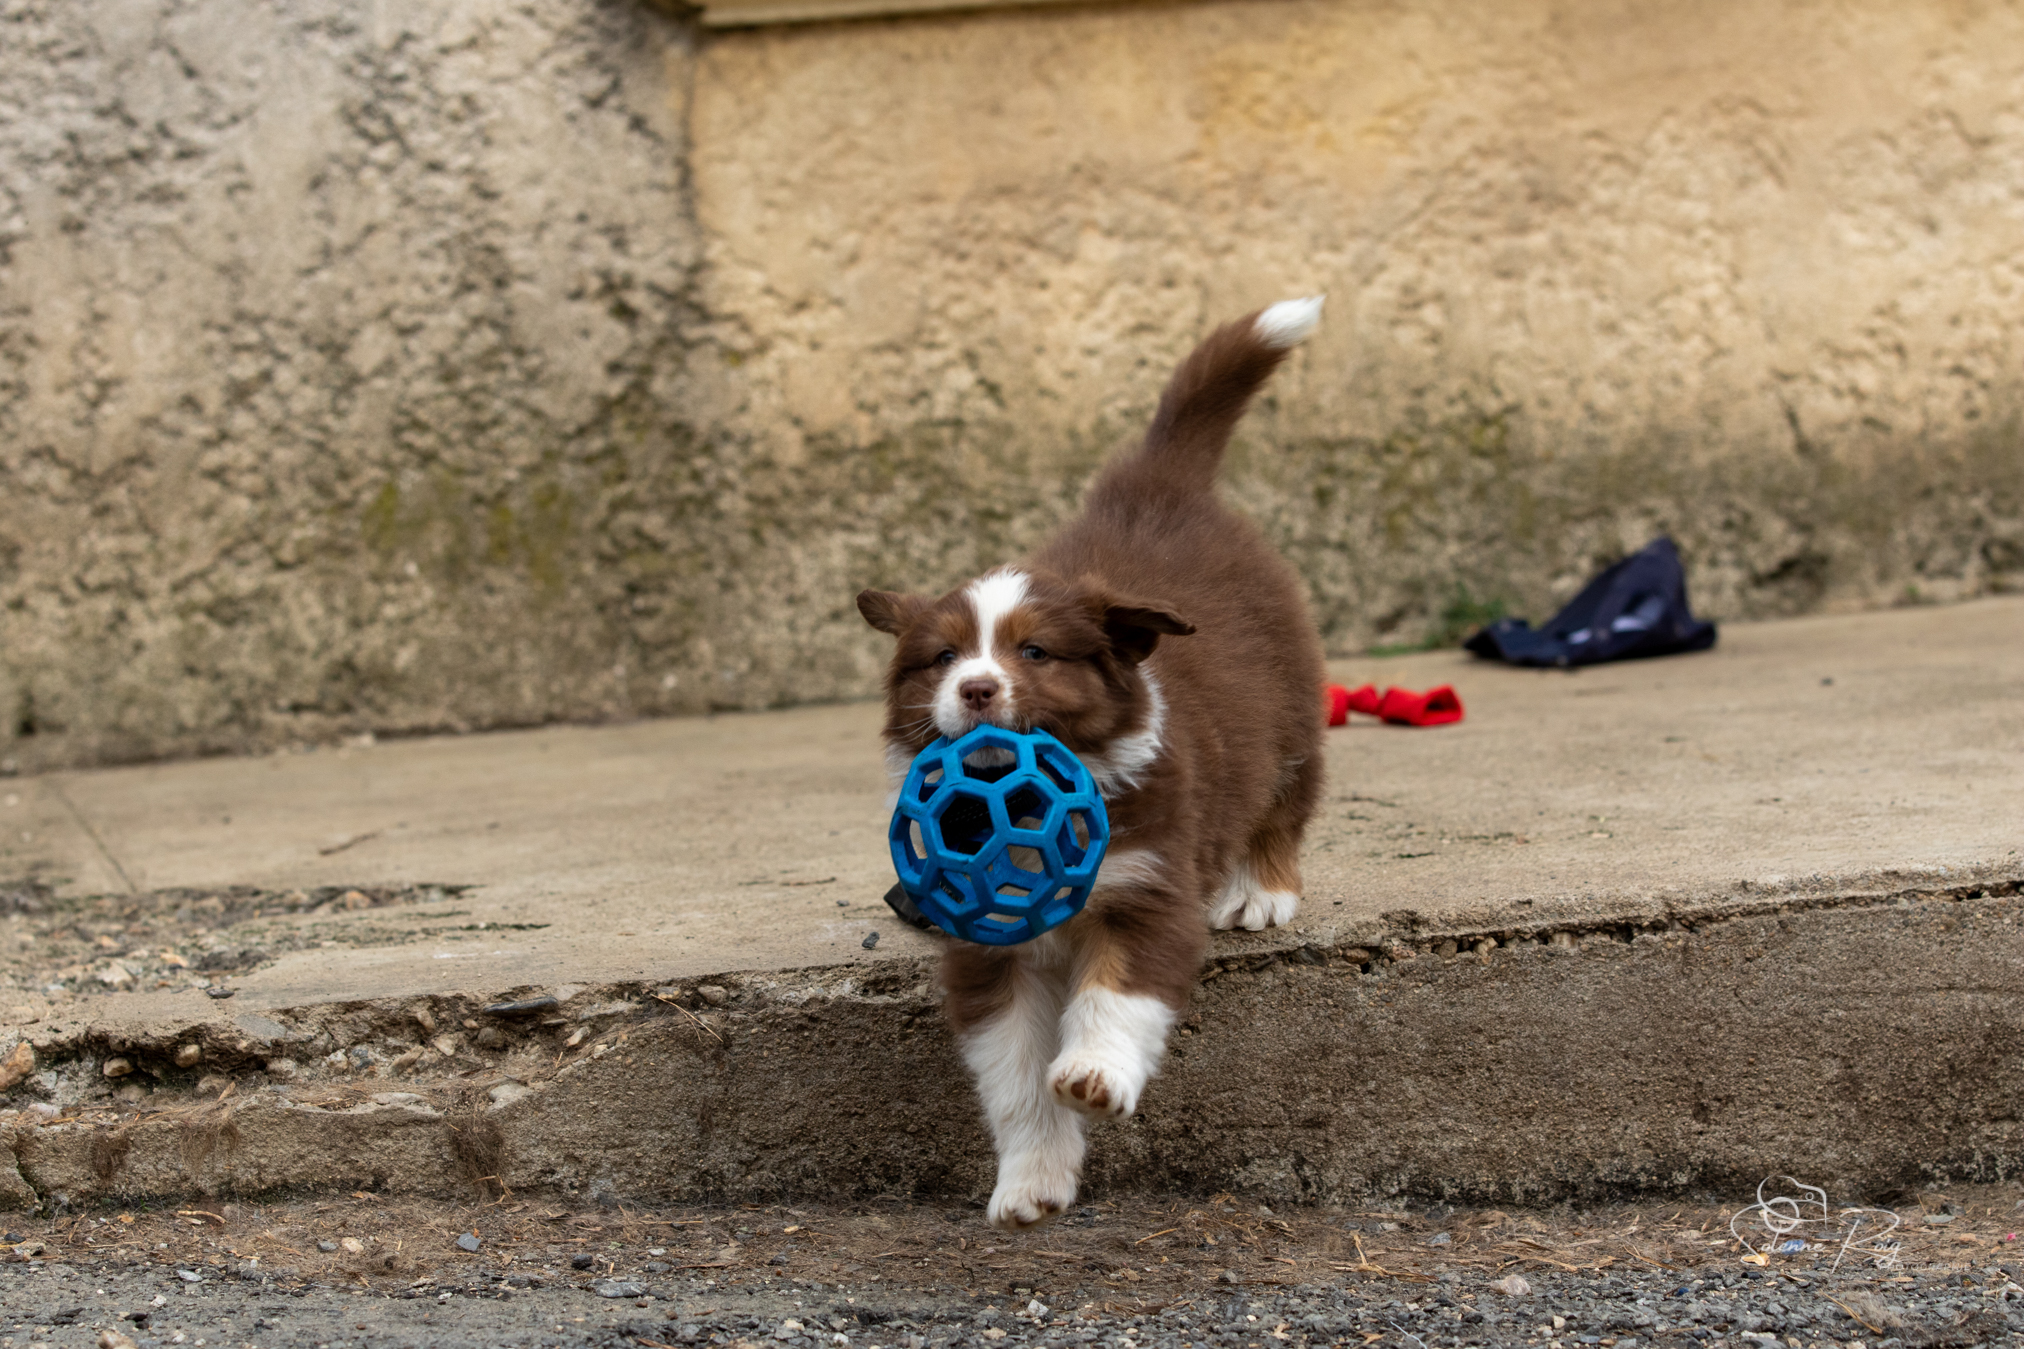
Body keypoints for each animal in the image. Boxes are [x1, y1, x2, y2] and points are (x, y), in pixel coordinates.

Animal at [856, 297, 1327, 1229]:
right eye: (941, 657)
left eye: (1035, 652)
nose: (976, 687)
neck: (1028, 813)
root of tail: (1155, 490)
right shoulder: (984, 945)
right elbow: (1011, 1076)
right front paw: (1031, 1179)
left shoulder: (1148, 890)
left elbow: (1116, 995)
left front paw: (1094, 1073)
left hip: (1291, 707)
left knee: (1287, 796)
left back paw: (1260, 889)